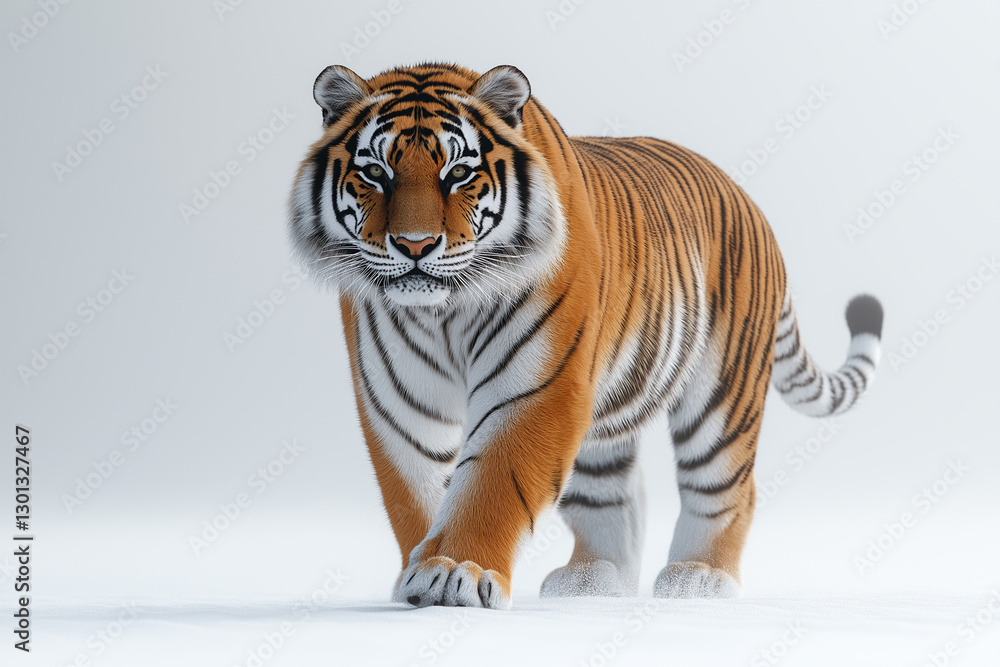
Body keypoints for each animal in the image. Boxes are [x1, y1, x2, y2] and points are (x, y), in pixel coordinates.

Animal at [287, 62, 884, 610]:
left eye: (457, 173)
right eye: (375, 172)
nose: (415, 245)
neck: (442, 311)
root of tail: (747, 199)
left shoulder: (536, 384)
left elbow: (490, 482)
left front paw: (455, 570)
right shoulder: (398, 400)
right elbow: (415, 491)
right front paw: (421, 571)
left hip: (722, 392)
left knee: (727, 486)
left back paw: (700, 578)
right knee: (614, 493)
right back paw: (595, 581)